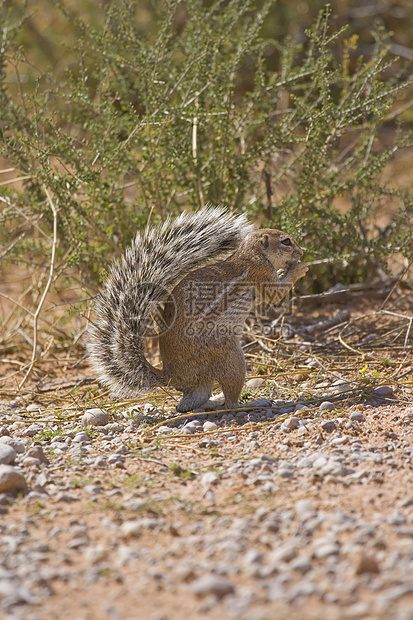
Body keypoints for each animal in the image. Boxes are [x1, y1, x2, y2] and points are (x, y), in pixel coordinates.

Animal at [88, 207, 308, 412]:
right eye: (286, 241)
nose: (302, 252)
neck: (250, 254)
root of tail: (171, 376)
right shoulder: (261, 273)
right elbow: (275, 295)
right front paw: (298, 269)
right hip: (229, 356)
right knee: (230, 402)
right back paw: (249, 403)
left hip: (204, 379)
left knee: (191, 402)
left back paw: (212, 401)